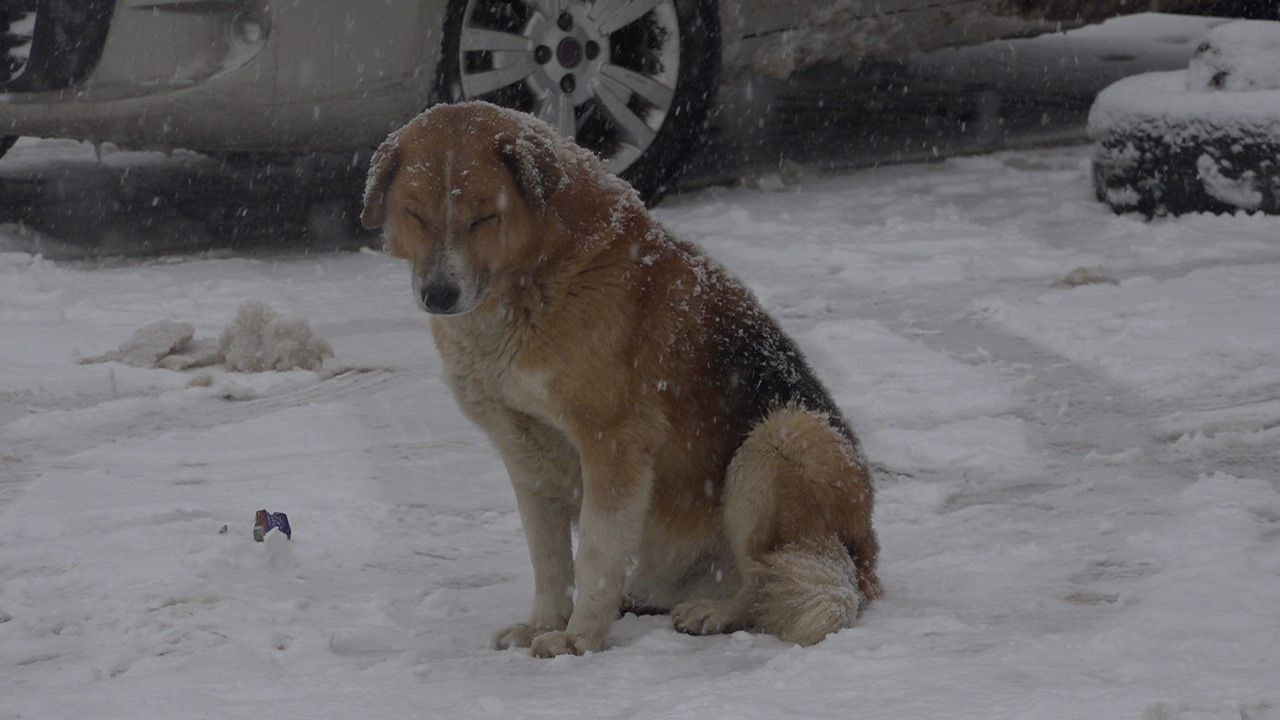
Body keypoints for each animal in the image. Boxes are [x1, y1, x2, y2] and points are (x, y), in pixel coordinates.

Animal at [360, 102, 880, 655]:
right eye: (415, 214)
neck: (538, 279)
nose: (439, 295)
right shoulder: (523, 452)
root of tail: (865, 567)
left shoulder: (612, 445)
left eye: (484, 217)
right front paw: (543, 623)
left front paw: (579, 638)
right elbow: (548, 559)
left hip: (784, 439)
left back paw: (717, 611)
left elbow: (594, 553)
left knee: (763, 578)